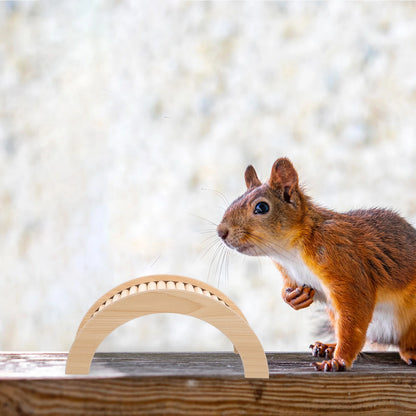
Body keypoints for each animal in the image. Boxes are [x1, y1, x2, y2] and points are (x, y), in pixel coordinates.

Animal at [216, 158, 416, 372]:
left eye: (261, 207)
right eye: (234, 201)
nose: (221, 232)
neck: (290, 252)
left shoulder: (344, 264)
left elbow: (354, 316)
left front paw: (338, 361)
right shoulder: (289, 273)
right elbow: (289, 289)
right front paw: (293, 297)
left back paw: (409, 352)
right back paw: (328, 346)